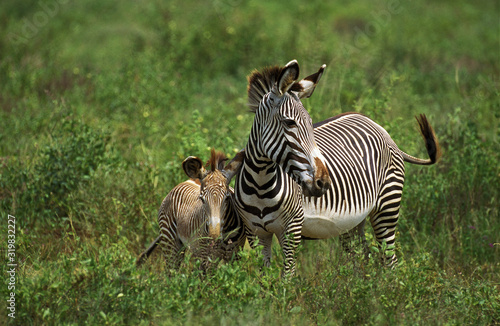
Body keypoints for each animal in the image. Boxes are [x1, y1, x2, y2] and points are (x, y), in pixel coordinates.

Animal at [234, 59, 442, 276]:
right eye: (289, 122)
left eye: (311, 123)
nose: (323, 182)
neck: (260, 184)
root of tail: (379, 127)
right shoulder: (255, 233)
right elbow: (263, 279)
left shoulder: (291, 230)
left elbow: (287, 277)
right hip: (353, 221)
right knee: (362, 258)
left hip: (387, 207)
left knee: (389, 261)